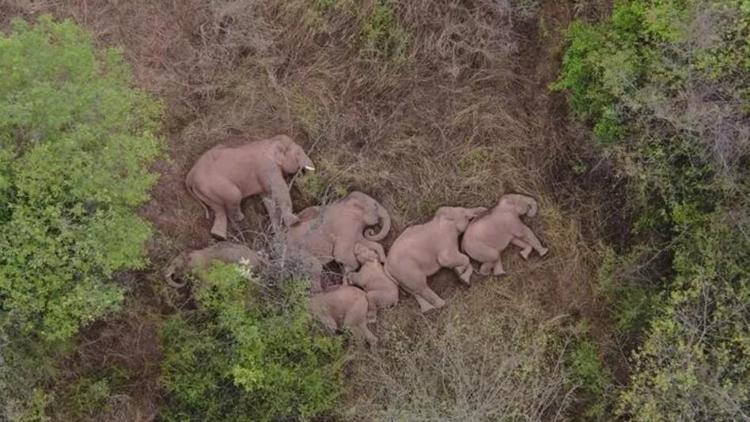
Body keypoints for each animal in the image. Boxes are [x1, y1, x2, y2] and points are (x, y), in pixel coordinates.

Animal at [189, 135, 318, 241]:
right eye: (298, 153)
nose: (301, 175)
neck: (271, 141)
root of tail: (190, 175)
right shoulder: (268, 167)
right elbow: (279, 190)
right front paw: (294, 221)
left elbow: (268, 199)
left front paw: (278, 232)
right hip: (216, 186)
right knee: (234, 198)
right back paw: (239, 221)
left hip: (206, 192)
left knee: (218, 209)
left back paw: (219, 236)